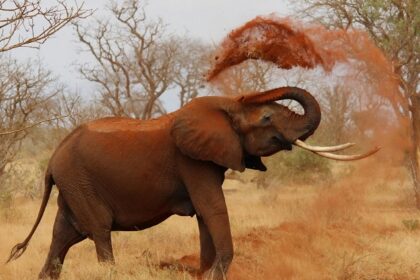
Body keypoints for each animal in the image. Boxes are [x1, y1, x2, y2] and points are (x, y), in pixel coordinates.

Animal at [6, 86, 378, 278]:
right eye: (267, 118)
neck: (226, 106)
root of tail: (53, 158)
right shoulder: (192, 161)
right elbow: (212, 209)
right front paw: (215, 274)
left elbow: (204, 215)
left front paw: (206, 273)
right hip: (79, 181)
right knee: (98, 230)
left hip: (73, 184)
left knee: (63, 236)